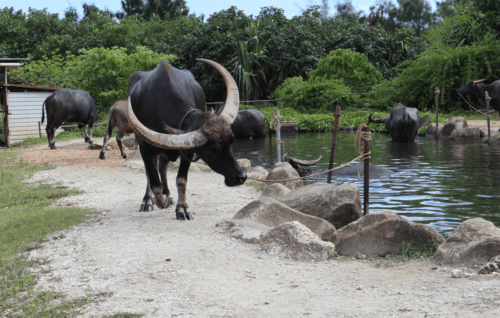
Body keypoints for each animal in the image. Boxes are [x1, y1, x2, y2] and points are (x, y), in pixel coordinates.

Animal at [126, 58, 247, 220]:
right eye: (212, 148)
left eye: (231, 141)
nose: (241, 176)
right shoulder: (145, 148)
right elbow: (154, 182)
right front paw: (159, 201)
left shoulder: (187, 151)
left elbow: (181, 180)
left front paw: (182, 208)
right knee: (152, 173)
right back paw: (148, 201)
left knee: (163, 166)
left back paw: (168, 194)